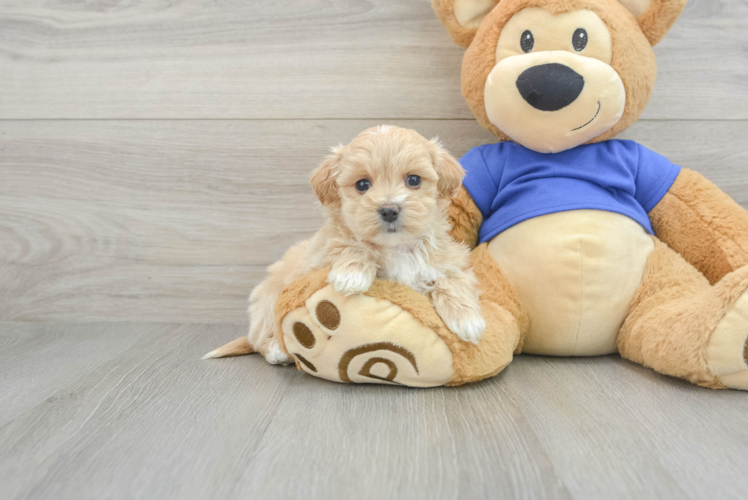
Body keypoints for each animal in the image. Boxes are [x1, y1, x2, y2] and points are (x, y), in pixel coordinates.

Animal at [241, 126, 486, 364]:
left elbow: (452, 279)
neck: (397, 247)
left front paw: (468, 320)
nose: (389, 210)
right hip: (267, 300)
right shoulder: (318, 259)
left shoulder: (449, 259)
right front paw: (352, 275)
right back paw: (276, 350)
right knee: (260, 336)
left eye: (414, 180)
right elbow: (347, 245)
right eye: (362, 184)